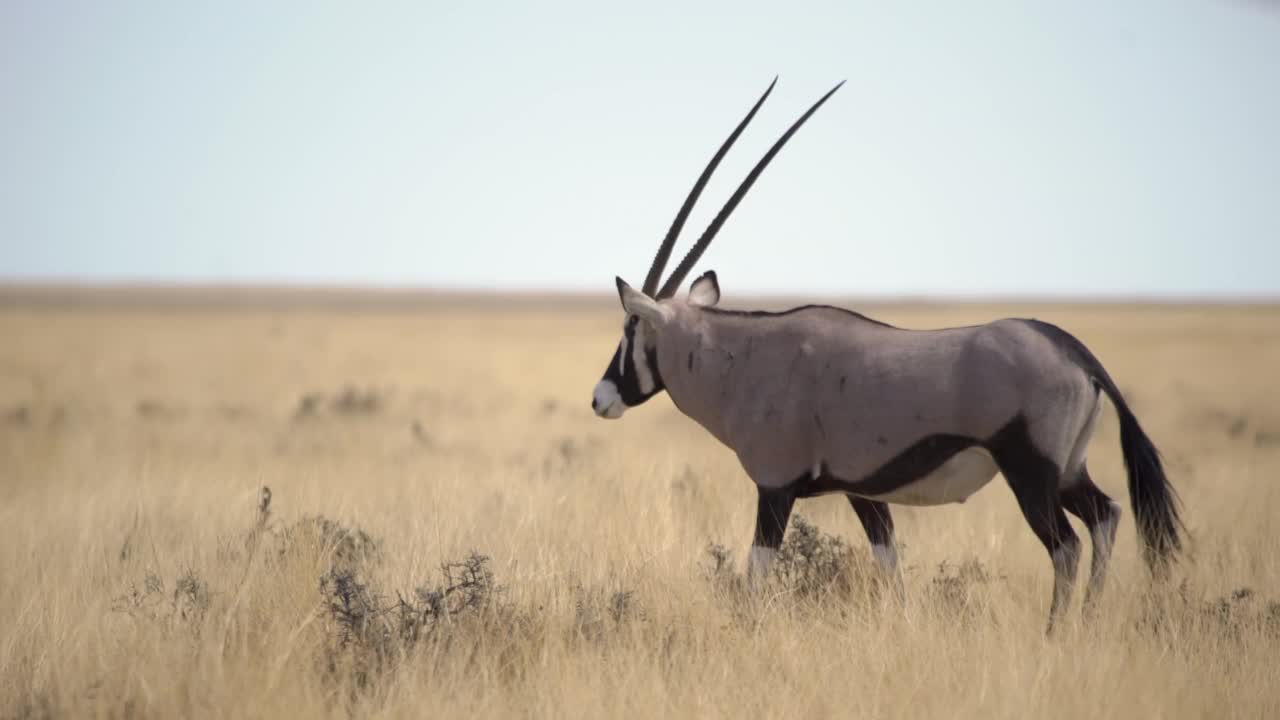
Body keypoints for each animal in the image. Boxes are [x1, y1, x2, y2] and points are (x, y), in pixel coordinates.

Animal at [588, 79, 1177, 627]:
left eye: (630, 327)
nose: (600, 398)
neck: (743, 360)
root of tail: (1071, 349)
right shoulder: (864, 493)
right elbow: (889, 564)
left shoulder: (775, 487)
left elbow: (756, 572)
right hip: (1069, 470)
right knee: (1105, 516)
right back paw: (1089, 623)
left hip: (1030, 473)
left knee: (1067, 545)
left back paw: (1055, 633)